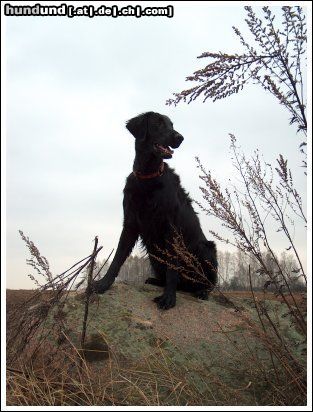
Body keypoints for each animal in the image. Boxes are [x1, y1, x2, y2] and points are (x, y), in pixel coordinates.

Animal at [91, 111, 216, 308]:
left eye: (172, 125)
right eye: (158, 123)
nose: (180, 138)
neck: (148, 177)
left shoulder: (171, 227)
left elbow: (172, 264)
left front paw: (169, 297)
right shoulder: (130, 224)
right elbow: (117, 258)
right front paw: (103, 284)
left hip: (207, 249)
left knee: (208, 283)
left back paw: (202, 291)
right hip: (153, 253)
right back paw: (156, 281)